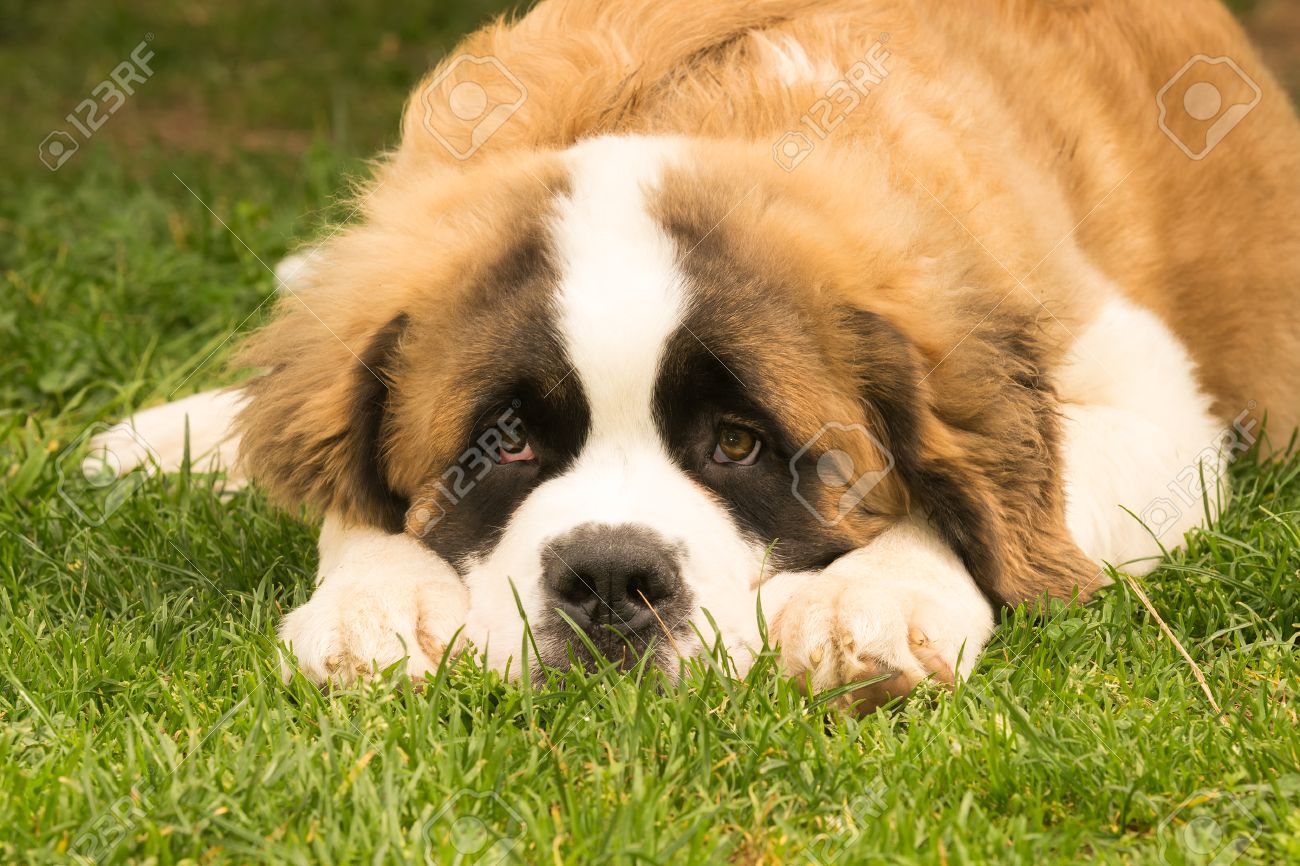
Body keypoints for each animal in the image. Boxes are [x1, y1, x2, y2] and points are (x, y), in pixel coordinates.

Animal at [98, 0, 1300, 707]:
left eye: (738, 444)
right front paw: (375, 603)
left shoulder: (1153, 402)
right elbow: (350, 497)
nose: (610, 577)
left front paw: (879, 599)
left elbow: (1003, 499)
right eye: (500, 445)